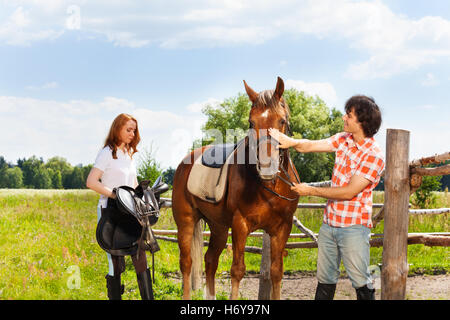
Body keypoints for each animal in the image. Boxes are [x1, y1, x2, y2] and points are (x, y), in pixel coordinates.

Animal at [171, 77, 298, 300]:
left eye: (282, 121)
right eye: (251, 122)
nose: (267, 167)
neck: (269, 185)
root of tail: (185, 162)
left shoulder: (283, 227)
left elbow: (276, 271)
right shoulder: (240, 224)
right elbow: (237, 270)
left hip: (219, 227)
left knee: (210, 260)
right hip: (186, 222)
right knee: (186, 263)